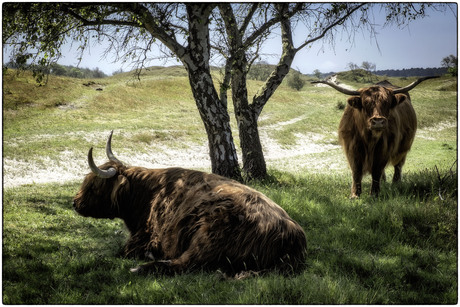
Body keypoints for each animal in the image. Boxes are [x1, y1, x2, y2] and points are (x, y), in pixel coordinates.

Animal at [73, 131, 308, 278]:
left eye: (93, 187)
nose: (75, 203)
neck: (146, 196)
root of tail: (291, 234)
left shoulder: (143, 238)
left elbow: (120, 251)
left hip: (207, 239)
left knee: (185, 264)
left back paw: (141, 267)